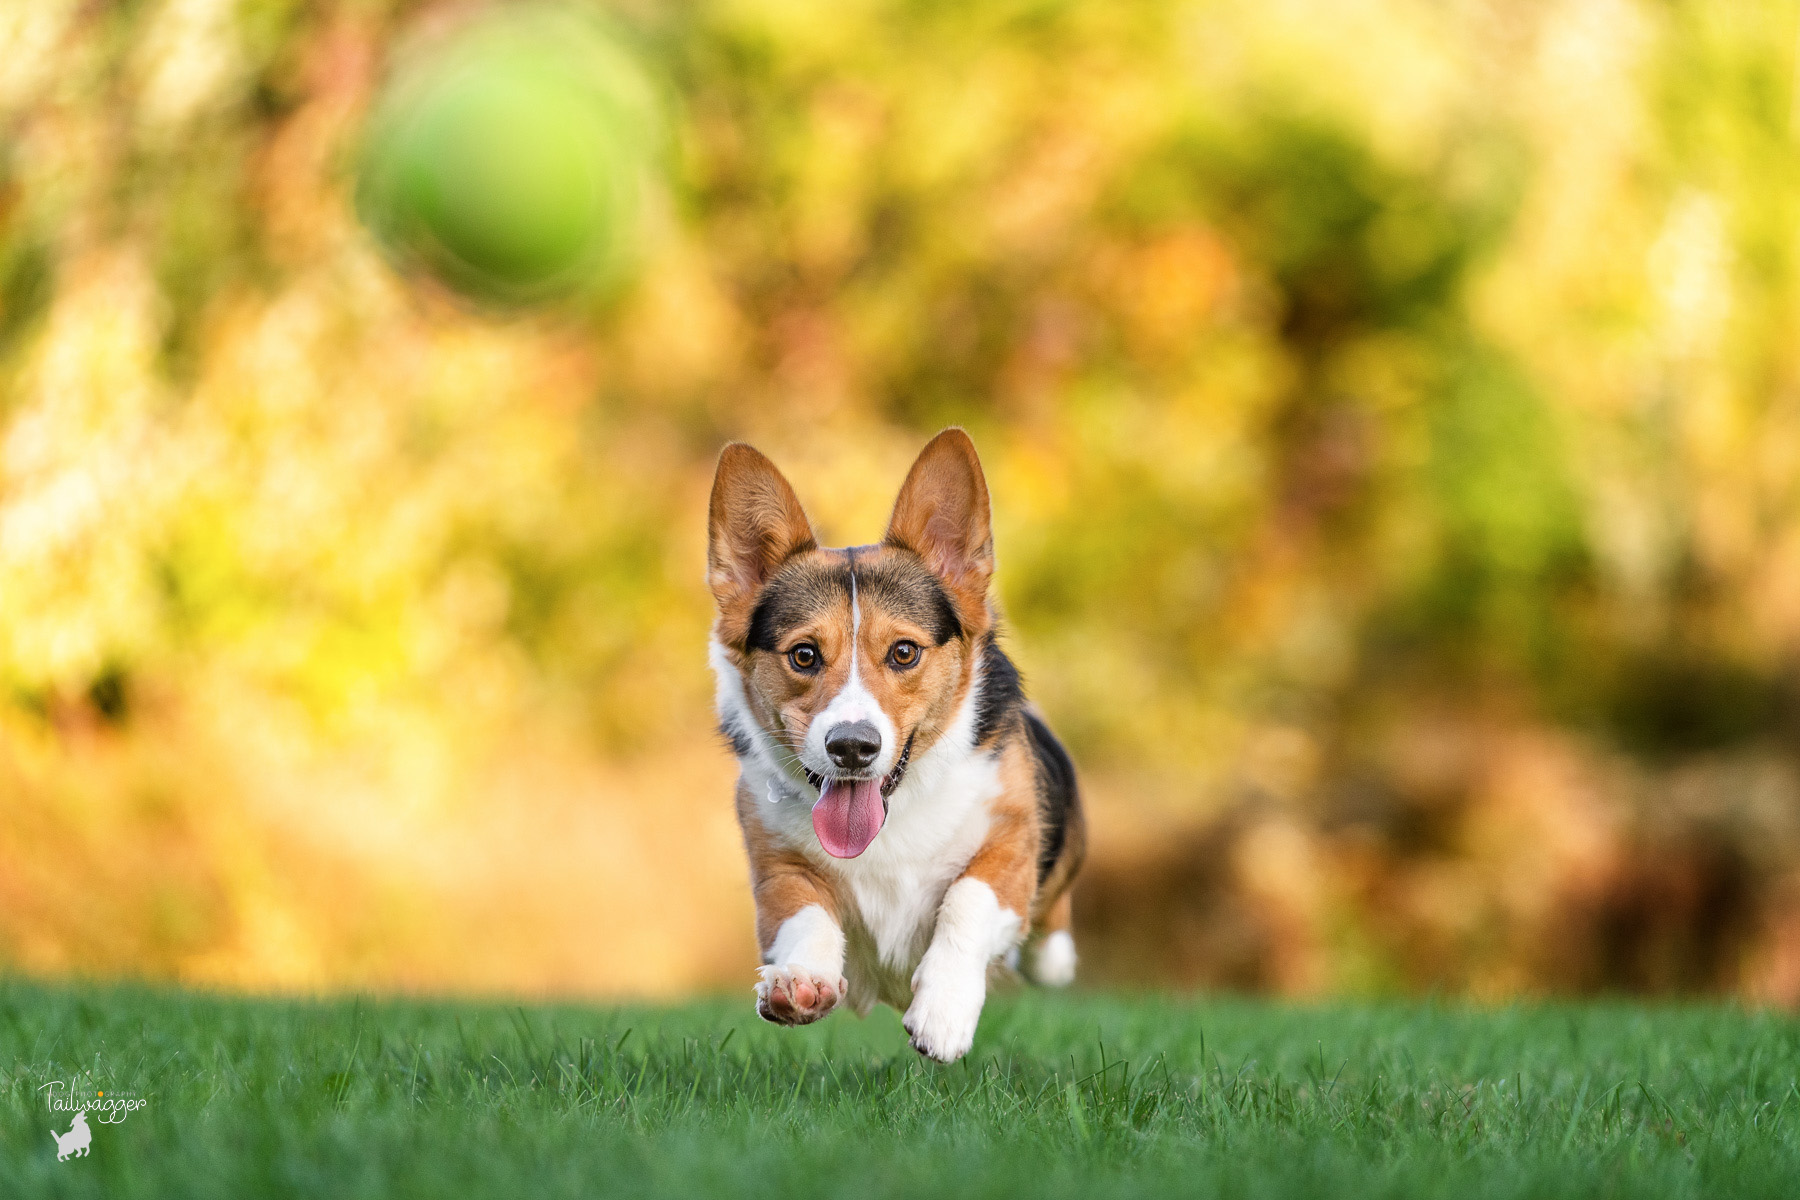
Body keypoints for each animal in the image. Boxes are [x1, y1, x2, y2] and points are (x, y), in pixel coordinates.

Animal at [705, 429, 1080, 1057]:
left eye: (904, 652)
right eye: (803, 655)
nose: (852, 748)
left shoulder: (1010, 844)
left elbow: (967, 899)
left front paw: (943, 1014)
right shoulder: (776, 865)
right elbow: (804, 913)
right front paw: (799, 982)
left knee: (1048, 941)